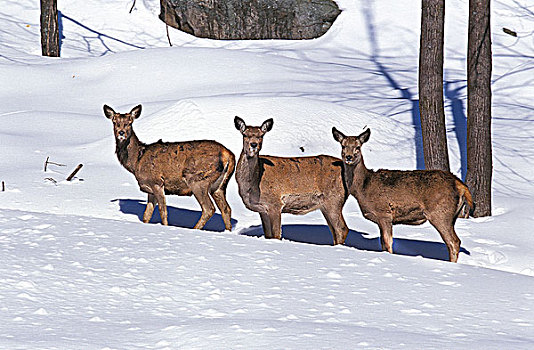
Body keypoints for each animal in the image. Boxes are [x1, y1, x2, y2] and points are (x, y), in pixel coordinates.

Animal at [105, 104, 236, 230]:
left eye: (130, 122)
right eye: (115, 121)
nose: (121, 132)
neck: (136, 161)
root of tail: (228, 155)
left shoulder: (157, 182)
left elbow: (163, 211)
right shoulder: (149, 188)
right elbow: (147, 215)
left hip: (198, 179)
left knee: (209, 208)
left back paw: (195, 229)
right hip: (219, 185)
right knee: (226, 209)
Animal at [332, 126, 476, 262]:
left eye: (357, 147)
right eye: (343, 145)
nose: (348, 157)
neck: (362, 188)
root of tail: (461, 185)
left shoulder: (384, 213)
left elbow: (388, 243)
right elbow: (383, 244)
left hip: (440, 213)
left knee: (454, 242)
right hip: (451, 216)